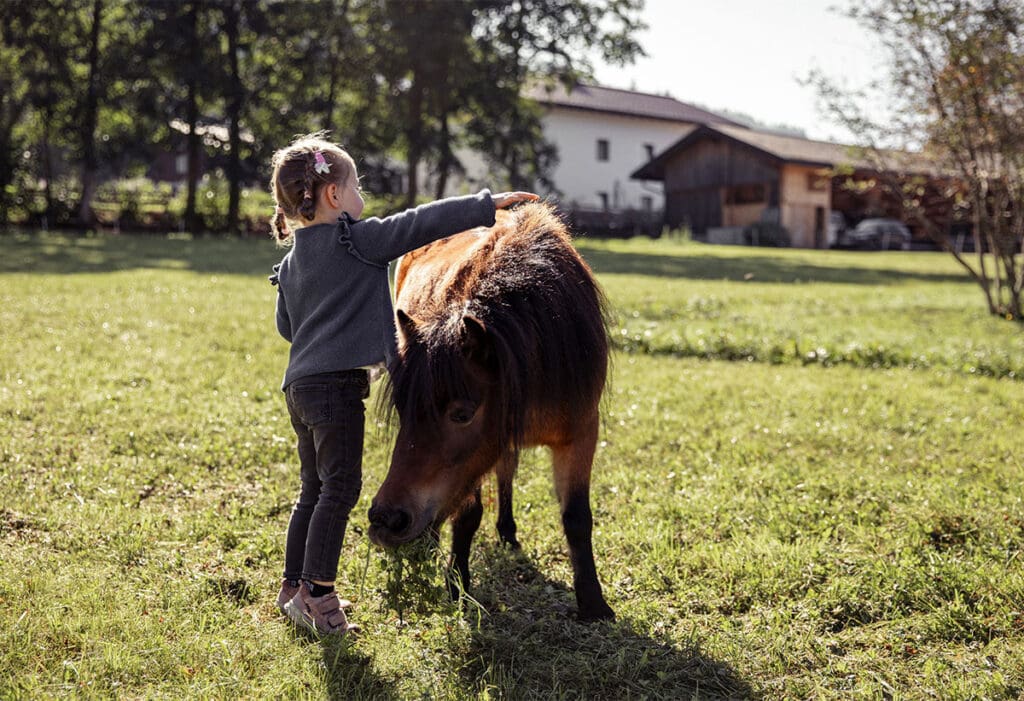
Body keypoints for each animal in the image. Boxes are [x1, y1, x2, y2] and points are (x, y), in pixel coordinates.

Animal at [368, 200, 610, 618]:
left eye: (463, 414)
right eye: (402, 408)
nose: (386, 519)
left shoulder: (580, 433)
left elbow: (577, 518)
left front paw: (594, 604)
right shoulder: (472, 462)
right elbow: (467, 515)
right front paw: (457, 584)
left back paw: (506, 531)